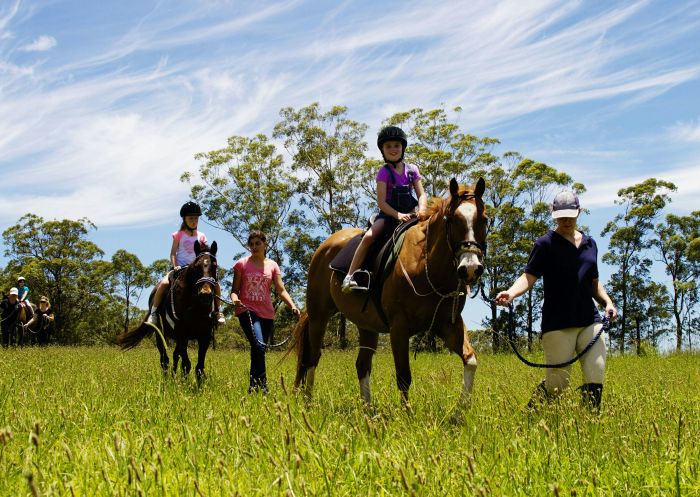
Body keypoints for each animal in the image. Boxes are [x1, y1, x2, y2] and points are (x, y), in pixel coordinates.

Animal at [118, 238, 219, 382]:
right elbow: (186, 364)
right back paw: (167, 380)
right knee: (164, 359)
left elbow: (198, 367)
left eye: (215, 266)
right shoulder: (182, 335)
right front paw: (183, 383)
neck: (194, 306)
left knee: (175, 356)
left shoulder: (204, 336)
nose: (205, 294)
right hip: (159, 334)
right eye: (196, 266)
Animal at [292, 176, 484, 416]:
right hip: (319, 316)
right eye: (454, 220)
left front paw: (460, 411)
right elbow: (403, 376)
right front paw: (408, 416)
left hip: (366, 325)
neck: (426, 265)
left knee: (362, 365)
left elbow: (470, 360)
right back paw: (308, 404)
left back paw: (367, 410)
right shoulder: (399, 327)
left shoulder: (449, 324)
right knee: (312, 358)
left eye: (484, 220)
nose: (470, 268)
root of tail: (324, 247)